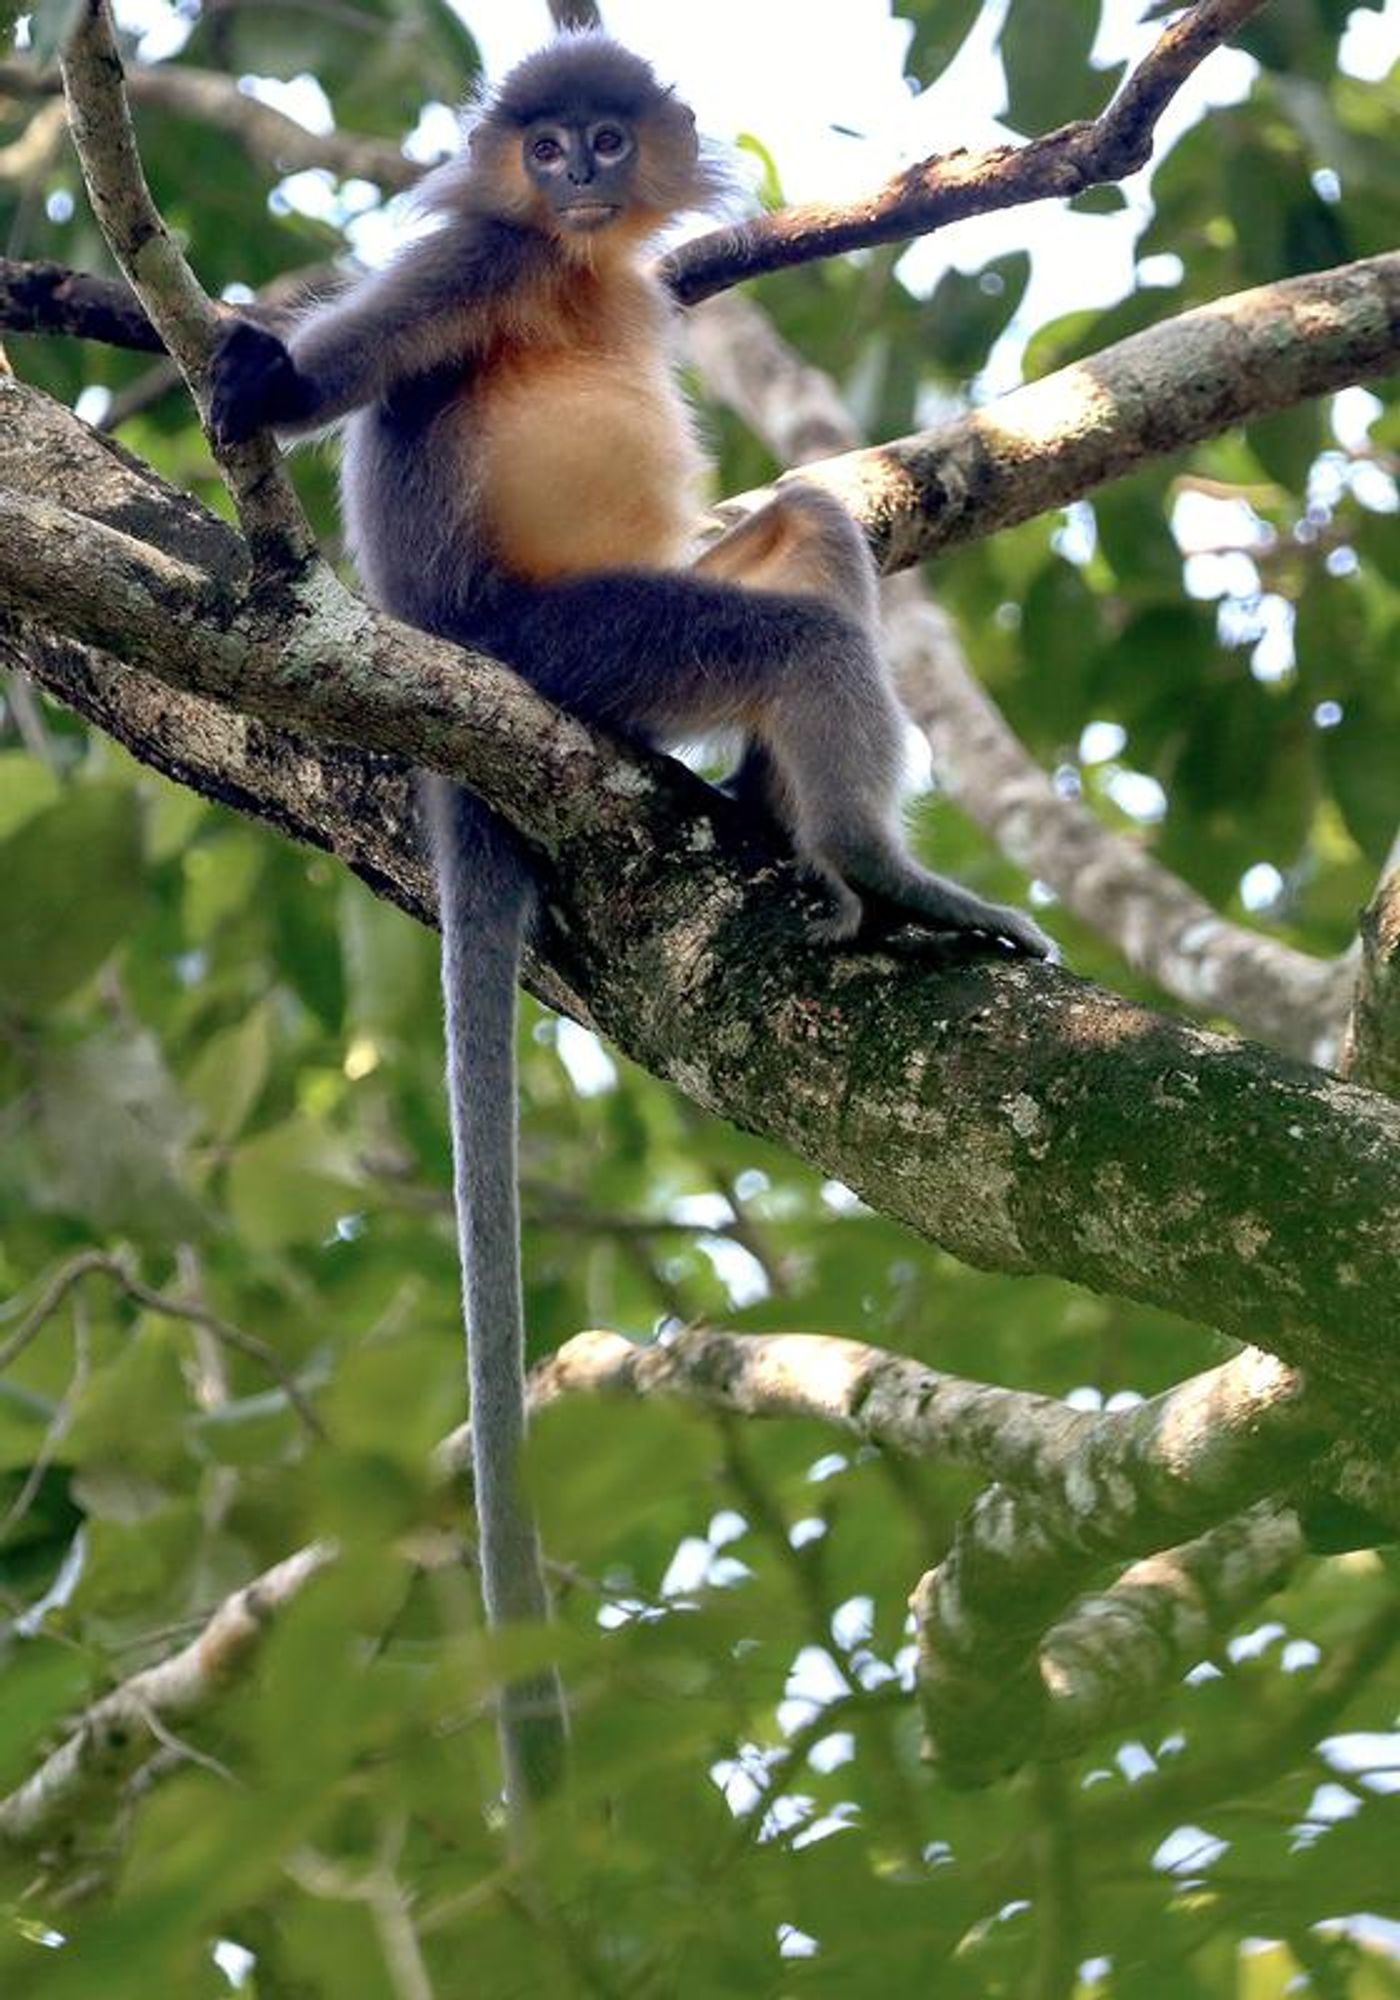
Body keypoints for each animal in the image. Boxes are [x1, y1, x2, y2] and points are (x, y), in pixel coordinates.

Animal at [211, 31, 1048, 1816]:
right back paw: (875, 869)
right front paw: (250, 376)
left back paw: (774, 819)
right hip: (581, 646)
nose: (584, 173)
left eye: (605, 138)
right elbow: (325, 380)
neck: (578, 262)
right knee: (795, 640)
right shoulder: (474, 257)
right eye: (545, 149)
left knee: (813, 524)